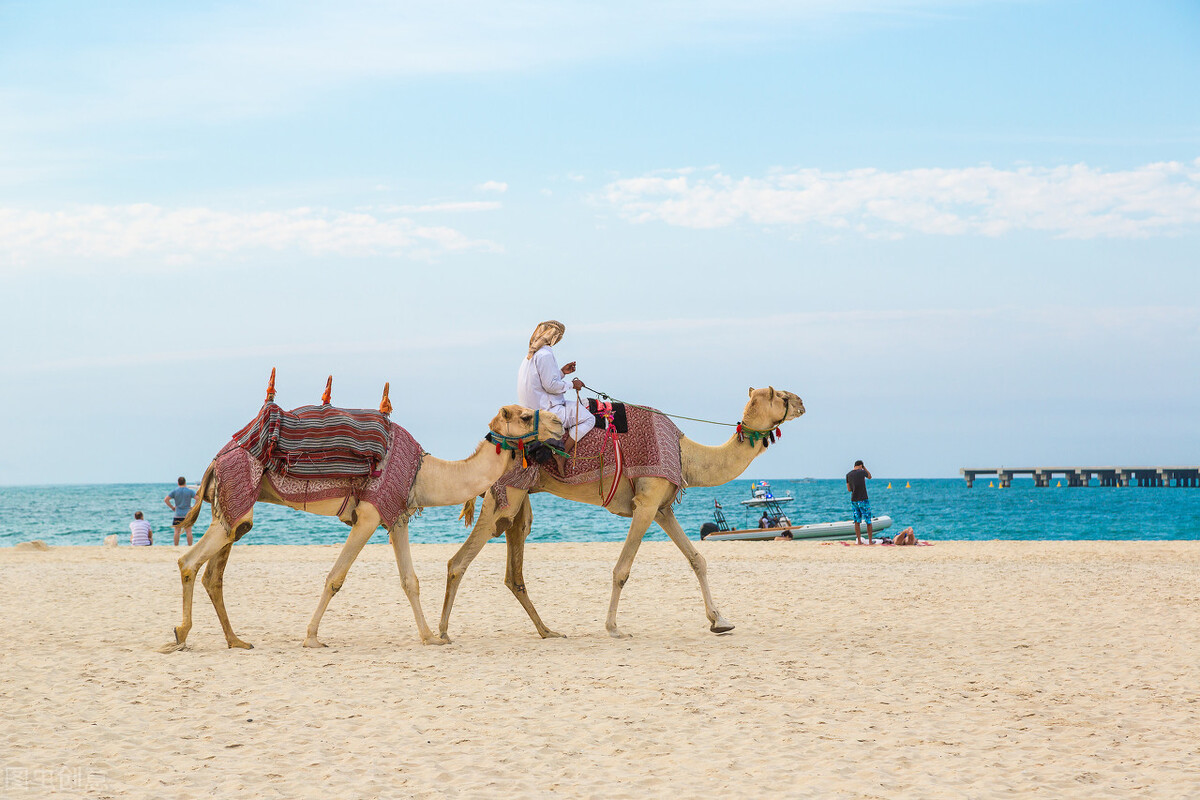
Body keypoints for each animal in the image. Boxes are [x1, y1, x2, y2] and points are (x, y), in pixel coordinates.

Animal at [160, 381, 566, 652]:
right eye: (526, 415)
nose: (560, 424)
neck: (424, 473)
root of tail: (217, 458)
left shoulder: (397, 516)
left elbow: (410, 581)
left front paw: (429, 637)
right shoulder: (370, 516)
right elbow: (335, 578)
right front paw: (311, 638)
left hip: (235, 509)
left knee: (213, 572)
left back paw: (236, 640)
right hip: (236, 497)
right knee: (188, 562)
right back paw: (180, 635)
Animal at [436, 383, 801, 642]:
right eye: (782, 395)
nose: (801, 401)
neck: (686, 454)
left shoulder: (662, 508)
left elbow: (697, 559)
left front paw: (720, 621)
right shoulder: (647, 503)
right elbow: (622, 569)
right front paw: (613, 627)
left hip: (518, 502)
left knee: (514, 572)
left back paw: (547, 631)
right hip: (504, 496)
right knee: (459, 561)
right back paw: (441, 632)